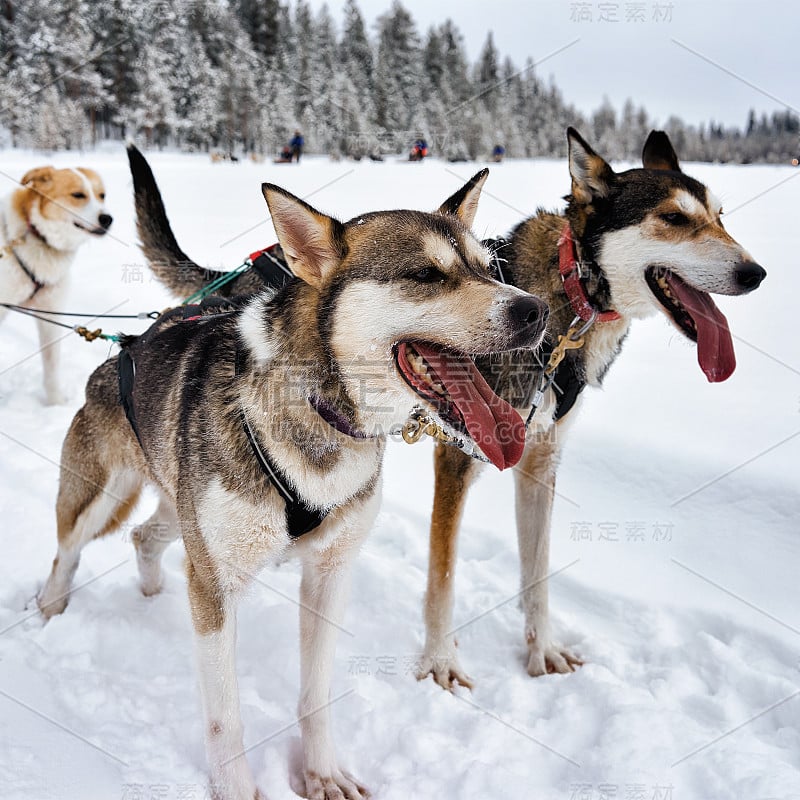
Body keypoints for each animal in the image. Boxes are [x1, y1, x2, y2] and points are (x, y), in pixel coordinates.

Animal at [0, 168, 112, 406]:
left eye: (102, 195)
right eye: (78, 195)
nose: (107, 218)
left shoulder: (50, 313)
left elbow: (51, 364)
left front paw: (55, 403)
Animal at [37, 170, 552, 800]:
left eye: (489, 268)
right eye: (426, 275)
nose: (536, 309)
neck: (320, 410)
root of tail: (131, 343)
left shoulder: (328, 574)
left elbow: (316, 693)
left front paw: (321, 773)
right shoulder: (217, 587)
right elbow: (224, 716)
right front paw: (237, 789)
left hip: (181, 514)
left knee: (144, 537)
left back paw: (153, 592)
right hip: (102, 496)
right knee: (67, 550)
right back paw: (49, 610)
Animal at [416, 128, 764, 692]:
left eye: (720, 215)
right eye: (674, 218)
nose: (756, 273)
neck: (568, 300)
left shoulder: (539, 461)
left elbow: (538, 571)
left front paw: (542, 649)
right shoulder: (457, 457)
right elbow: (442, 574)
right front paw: (441, 661)